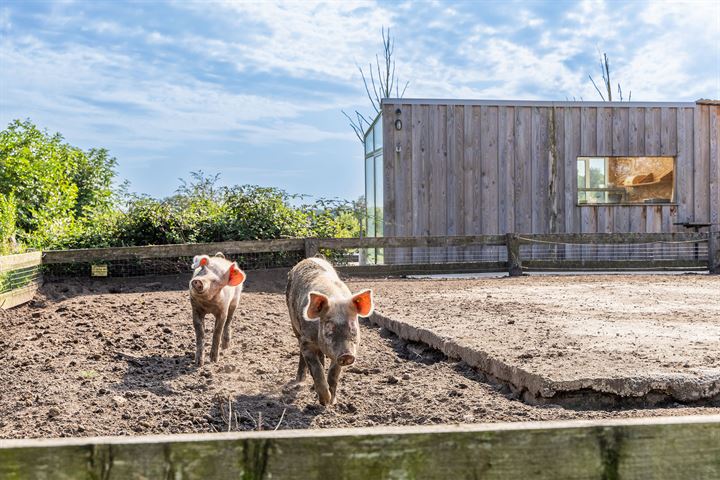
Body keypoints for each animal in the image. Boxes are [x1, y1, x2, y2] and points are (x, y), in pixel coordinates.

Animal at [284, 256, 374, 406]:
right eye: (328, 327)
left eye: (353, 327)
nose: (347, 355)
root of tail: (308, 258)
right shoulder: (306, 342)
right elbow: (317, 369)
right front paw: (324, 401)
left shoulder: (337, 354)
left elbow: (333, 373)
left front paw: (332, 401)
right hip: (294, 325)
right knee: (303, 355)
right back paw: (299, 382)